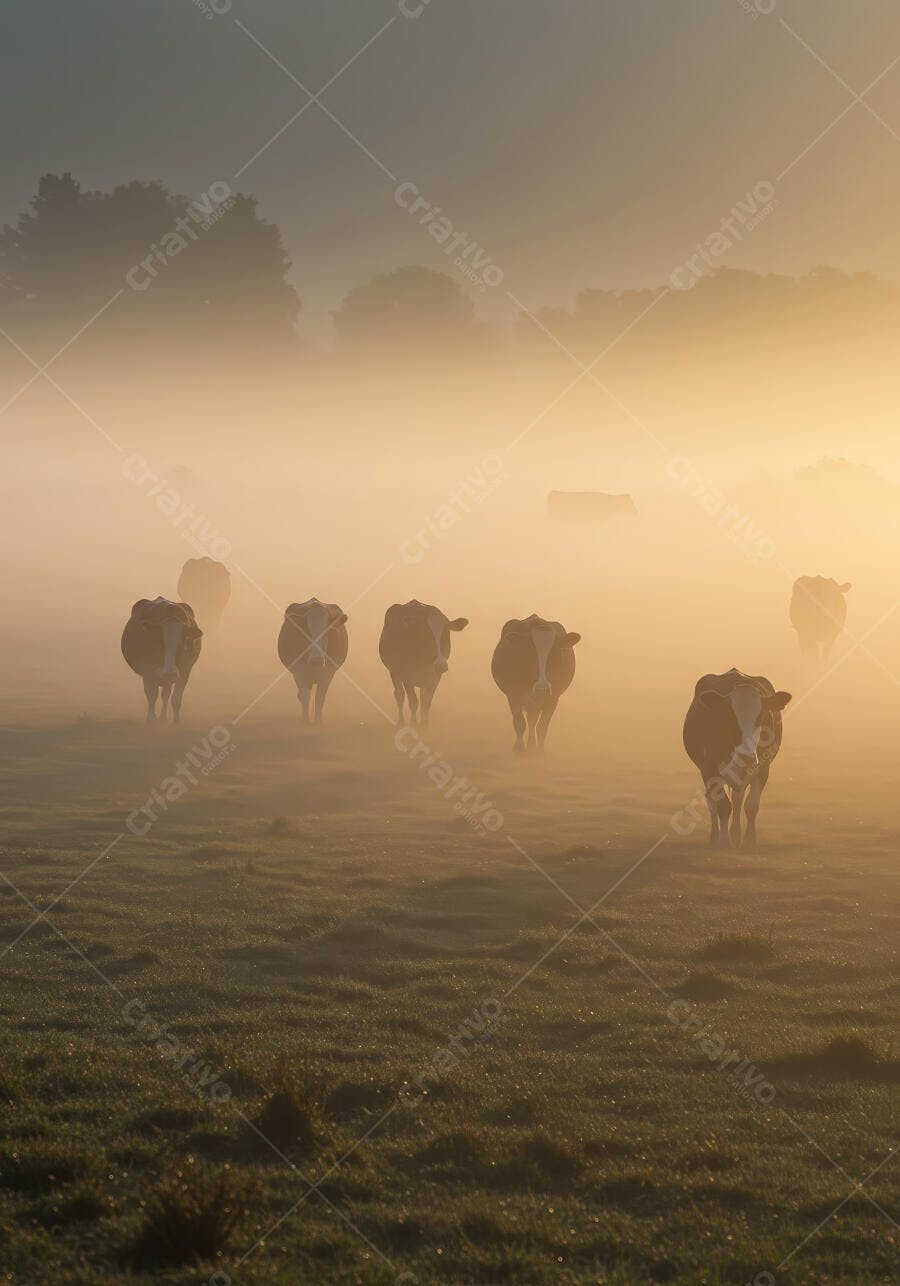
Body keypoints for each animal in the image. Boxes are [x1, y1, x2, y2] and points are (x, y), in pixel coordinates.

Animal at [491, 614, 580, 752]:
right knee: (530, 715)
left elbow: (542, 725)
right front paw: (519, 748)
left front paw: (538, 750)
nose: (542, 688)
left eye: (554, 652)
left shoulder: (554, 697)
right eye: (530, 651)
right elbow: (520, 722)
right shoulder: (513, 693)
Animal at [682, 668, 791, 849]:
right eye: (730, 715)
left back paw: (736, 834)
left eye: (761, 716)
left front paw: (748, 841)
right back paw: (715, 837)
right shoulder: (709, 768)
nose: (746, 757)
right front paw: (724, 842)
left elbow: (751, 806)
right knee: (712, 801)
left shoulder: (763, 767)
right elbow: (723, 806)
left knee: (738, 799)